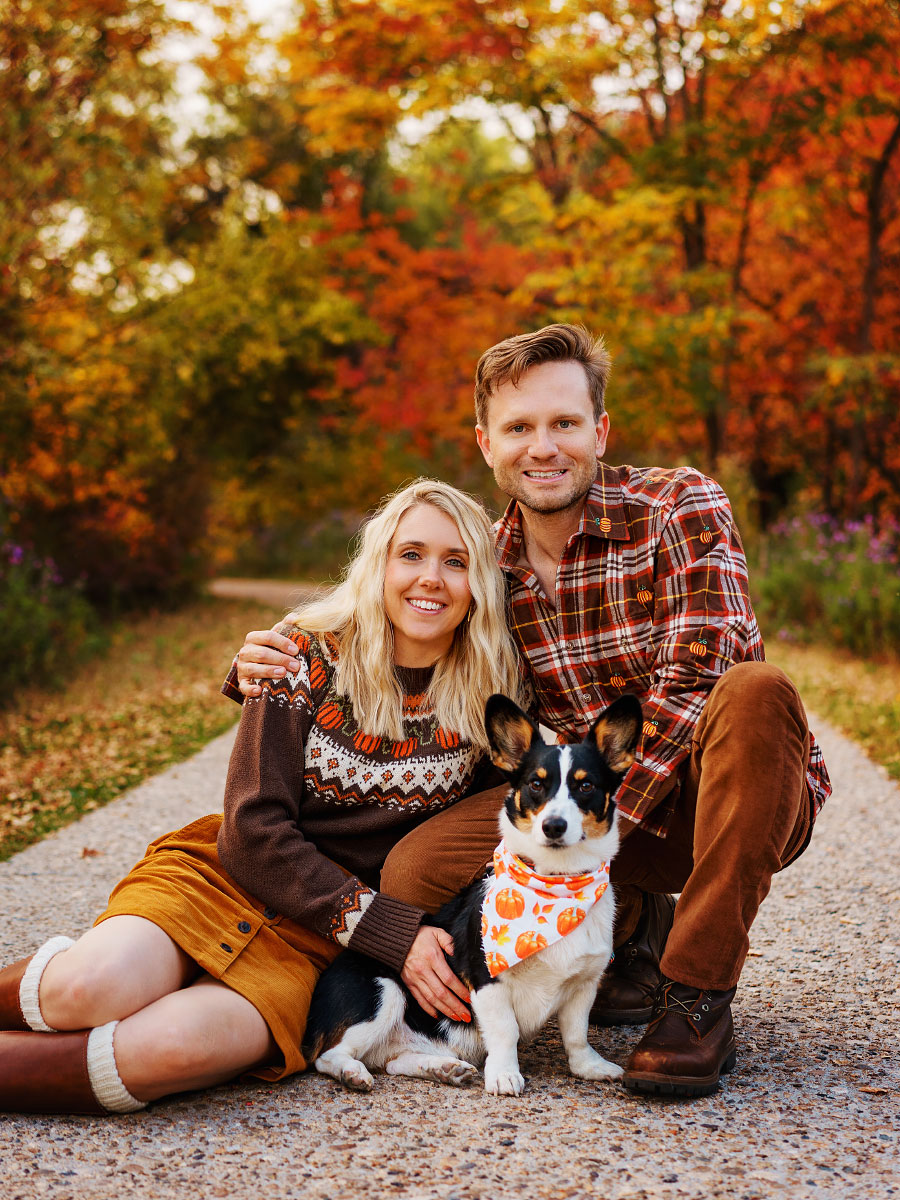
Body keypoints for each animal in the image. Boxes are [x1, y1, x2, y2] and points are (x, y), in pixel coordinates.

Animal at [303, 696, 643, 1099]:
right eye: (535, 784)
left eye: (586, 785)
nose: (554, 826)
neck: (555, 884)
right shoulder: (486, 979)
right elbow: (505, 1031)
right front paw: (504, 1076)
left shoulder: (583, 986)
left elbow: (577, 1034)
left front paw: (590, 1068)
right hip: (384, 991)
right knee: (329, 1056)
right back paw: (351, 1073)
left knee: (395, 1061)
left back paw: (443, 1069)